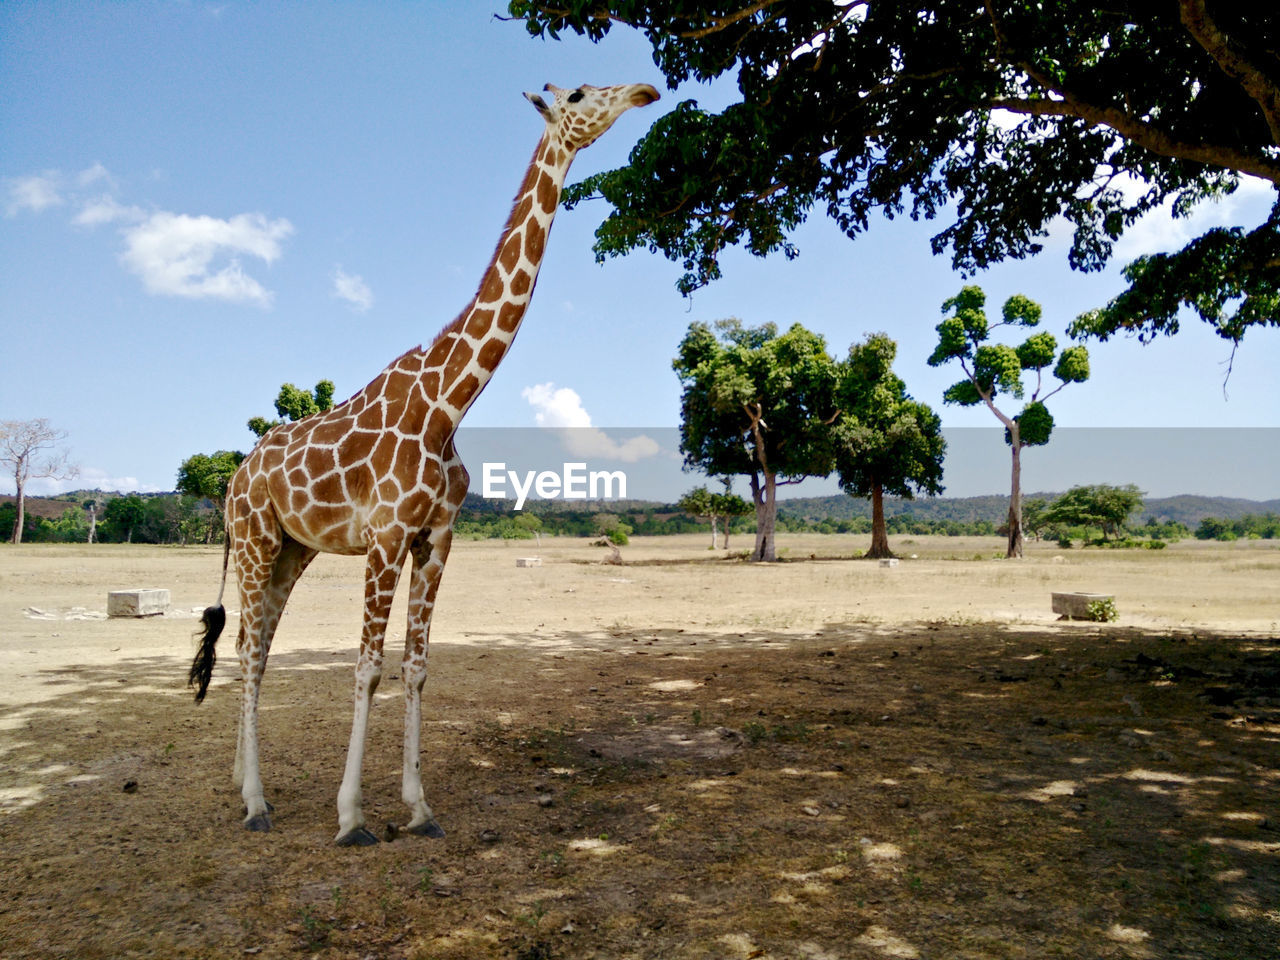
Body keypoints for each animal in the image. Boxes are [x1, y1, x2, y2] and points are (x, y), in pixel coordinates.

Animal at [189, 84, 660, 849]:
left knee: (248, 645)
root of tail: (233, 478)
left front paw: (419, 808)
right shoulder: (385, 537)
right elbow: (367, 668)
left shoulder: (436, 537)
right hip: (256, 540)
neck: (449, 403)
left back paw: (240, 784)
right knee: (253, 652)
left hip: (291, 550)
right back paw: (256, 802)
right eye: (581, 93)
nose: (646, 91)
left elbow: (415, 668)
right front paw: (352, 817)